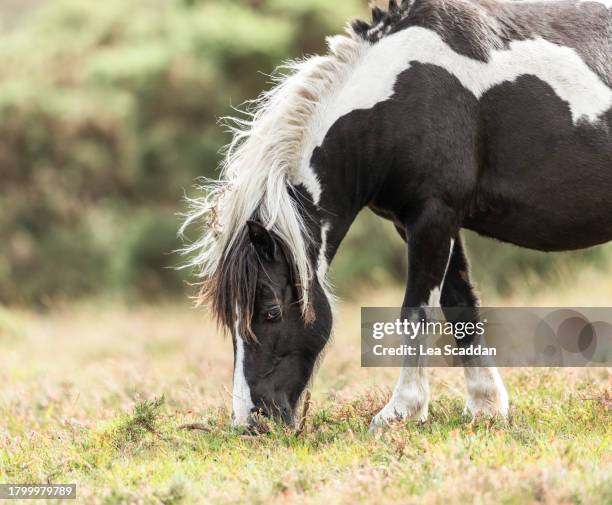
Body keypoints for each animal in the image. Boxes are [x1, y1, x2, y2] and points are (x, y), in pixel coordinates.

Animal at [182, 0, 612, 430]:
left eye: (270, 312)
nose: (251, 422)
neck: (403, 96)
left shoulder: (433, 216)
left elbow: (415, 314)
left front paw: (401, 411)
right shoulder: (422, 223)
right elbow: (461, 307)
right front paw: (484, 406)